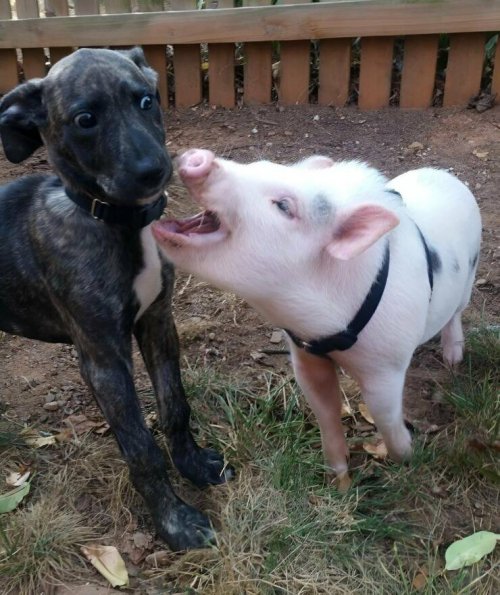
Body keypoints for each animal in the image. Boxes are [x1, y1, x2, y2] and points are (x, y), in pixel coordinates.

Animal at [0, 48, 232, 551]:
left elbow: (175, 405)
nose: (156, 171)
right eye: (85, 119)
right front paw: (176, 522)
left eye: (146, 100)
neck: (115, 221)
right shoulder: (103, 360)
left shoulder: (158, 322)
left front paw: (193, 464)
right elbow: (141, 447)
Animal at [152, 149, 481, 482]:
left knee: (456, 312)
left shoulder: (386, 366)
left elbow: (384, 416)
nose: (198, 156)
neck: (322, 324)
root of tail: (446, 175)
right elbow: (326, 411)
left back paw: (453, 360)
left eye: (284, 206)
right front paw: (337, 477)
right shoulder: (305, 355)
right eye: (258, 165)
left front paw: (407, 458)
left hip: (469, 275)